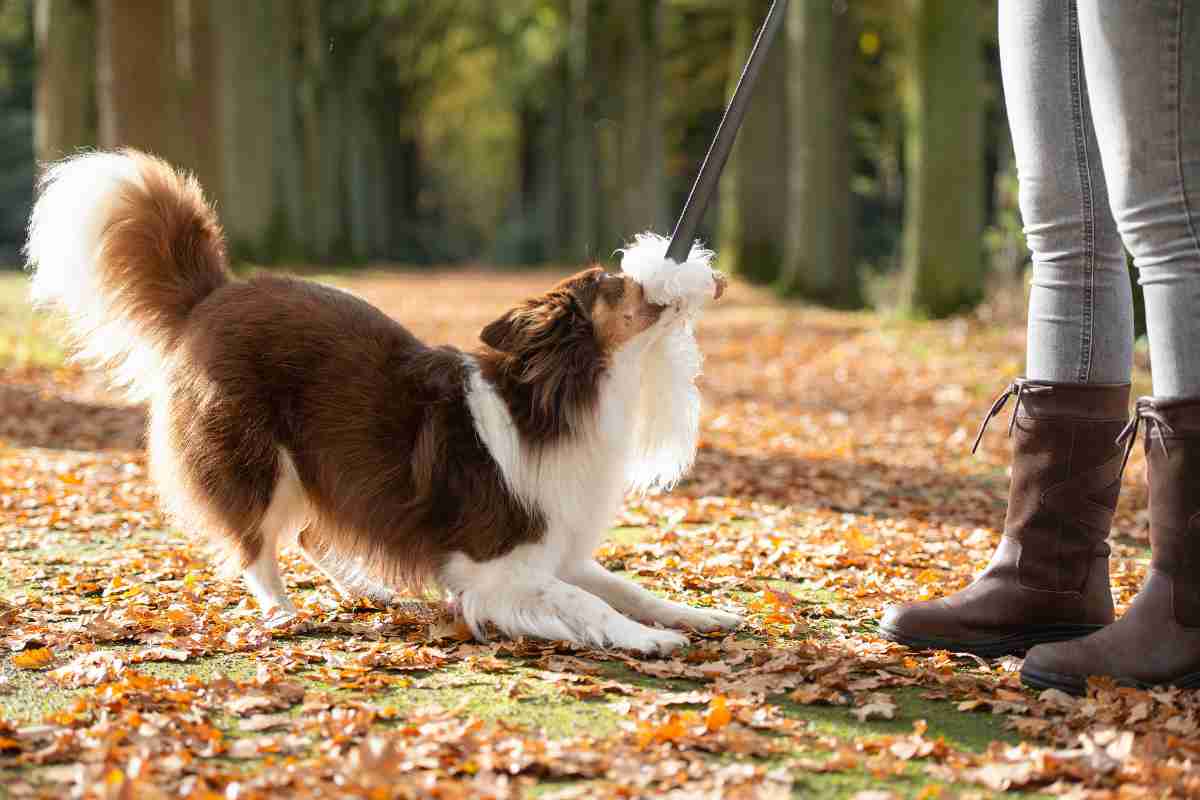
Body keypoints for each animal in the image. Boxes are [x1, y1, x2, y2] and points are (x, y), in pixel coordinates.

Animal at [25, 149, 739, 657]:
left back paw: (365, 588)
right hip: (259, 460)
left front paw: (699, 614)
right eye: (615, 283)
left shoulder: (555, 546)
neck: (559, 399)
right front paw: (647, 639)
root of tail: (214, 295)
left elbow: (625, 586)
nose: (698, 275)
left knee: (310, 531)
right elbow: (589, 604)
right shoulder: (495, 565)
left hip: (326, 466)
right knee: (257, 545)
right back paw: (282, 612)